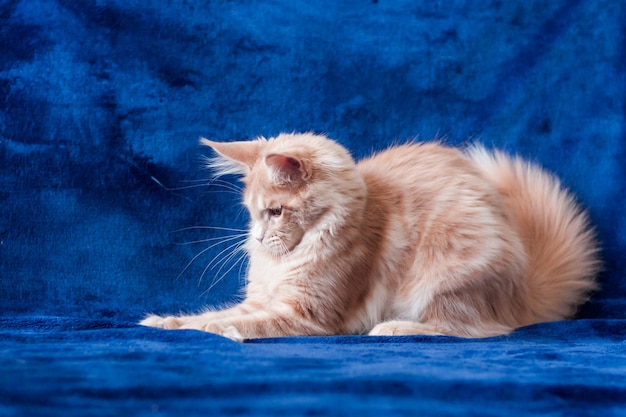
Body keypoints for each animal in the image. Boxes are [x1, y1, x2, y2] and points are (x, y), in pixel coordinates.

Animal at [139, 132, 596, 340]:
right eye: (251, 214)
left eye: (276, 212)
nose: (257, 239)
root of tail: (523, 291)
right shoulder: (259, 300)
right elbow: (208, 315)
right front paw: (166, 322)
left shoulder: (305, 315)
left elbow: (238, 322)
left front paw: (221, 331)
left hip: (444, 273)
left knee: (471, 330)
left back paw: (393, 328)